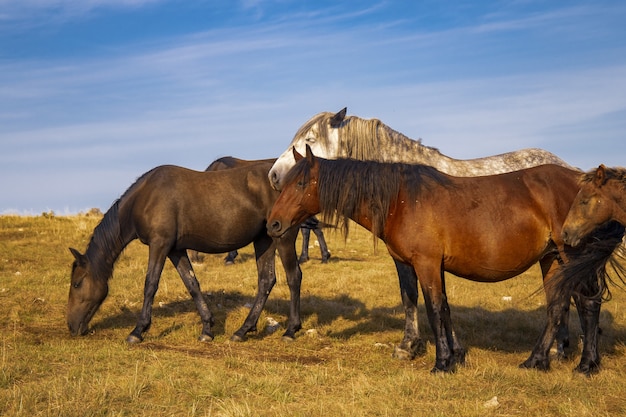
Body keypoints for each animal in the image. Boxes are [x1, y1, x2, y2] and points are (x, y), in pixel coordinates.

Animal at [67, 162, 302, 344]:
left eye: (77, 283)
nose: (71, 326)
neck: (145, 197)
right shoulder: (175, 250)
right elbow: (192, 284)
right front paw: (207, 328)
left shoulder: (159, 245)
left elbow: (150, 284)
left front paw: (138, 330)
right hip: (264, 240)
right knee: (266, 280)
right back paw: (242, 330)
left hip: (283, 238)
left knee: (293, 277)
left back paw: (291, 330)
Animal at [266, 147, 620, 374]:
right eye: (284, 183)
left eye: (301, 183)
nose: (273, 224)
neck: (401, 199)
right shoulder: (425, 265)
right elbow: (441, 307)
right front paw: (453, 357)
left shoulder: (426, 263)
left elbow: (434, 308)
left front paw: (441, 363)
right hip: (552, 260)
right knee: (557, 306)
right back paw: (537, 361)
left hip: (572, 257)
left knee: (587, 304)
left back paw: (586, 365)